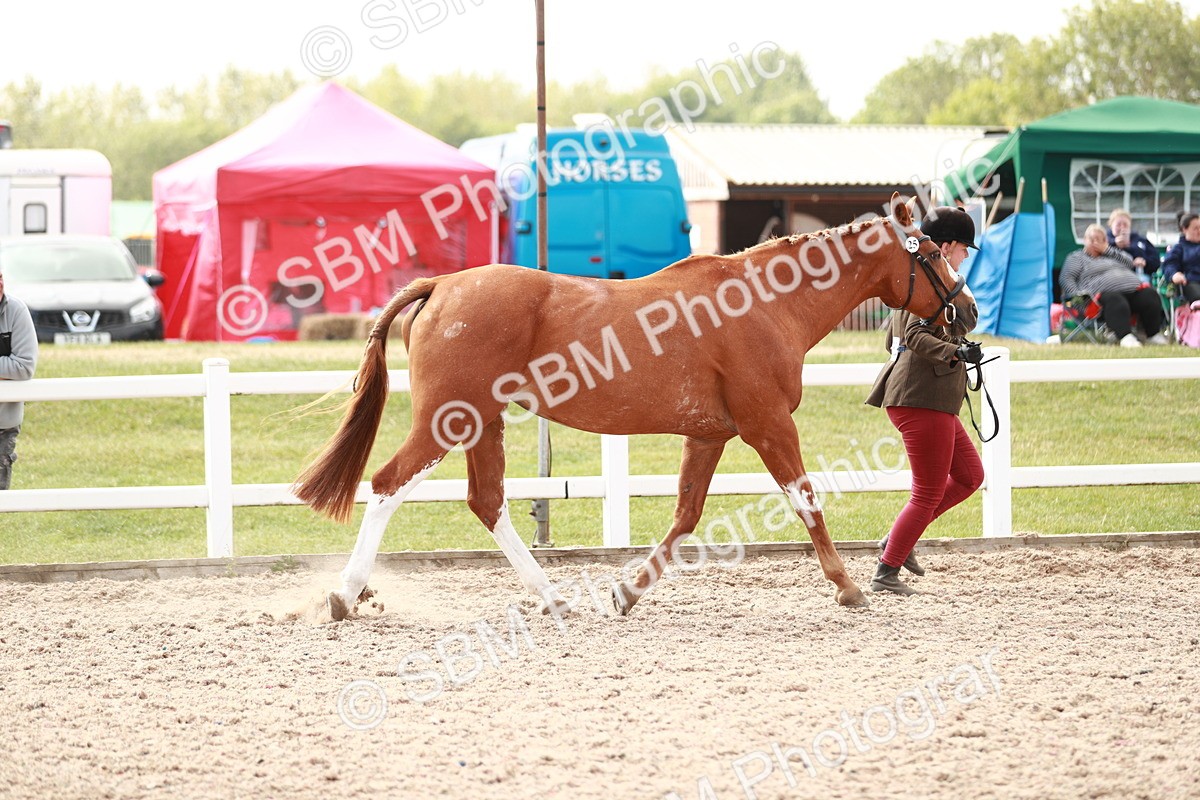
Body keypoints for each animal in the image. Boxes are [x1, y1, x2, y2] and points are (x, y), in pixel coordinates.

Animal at [293, 194, 976, 620]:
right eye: (932, 253)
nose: (967, 311)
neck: (763, 305)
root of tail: (441, 285)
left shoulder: (711, 434)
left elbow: (685, 517)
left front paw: (627, 592)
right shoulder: (768, 425)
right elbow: (805, 499)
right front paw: (849, 587)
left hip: (482, 424)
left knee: (488, 503)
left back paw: (553, 598)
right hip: (450, 421)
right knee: (388, 485)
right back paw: (346, 595)